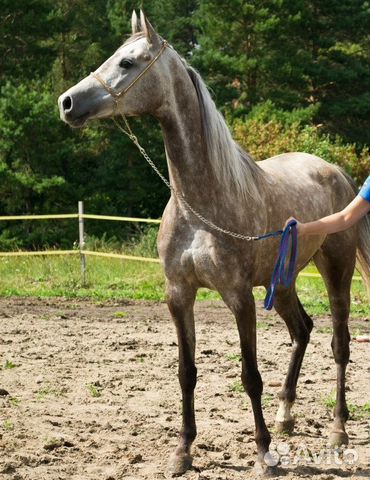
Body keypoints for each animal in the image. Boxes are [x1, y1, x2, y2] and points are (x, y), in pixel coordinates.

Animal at [58, 10, 370, 476]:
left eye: (127, 62)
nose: (67, 103)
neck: (199, 207)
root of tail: (336, 173)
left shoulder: (239, 296)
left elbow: (250, 376)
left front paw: (264, 454)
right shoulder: (178, 295)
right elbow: (186, 372)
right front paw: (183, 451)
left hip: (337, 272)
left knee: (339, 344)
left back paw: (337, 431)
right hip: (282, 283)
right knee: (302, 330)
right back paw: (286, 415)